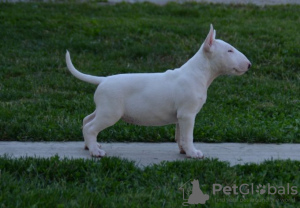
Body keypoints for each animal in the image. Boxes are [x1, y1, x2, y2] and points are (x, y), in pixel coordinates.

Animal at [65, 24, 251, 158]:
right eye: (229, 50)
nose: (249, 65)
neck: (198, 72)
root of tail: (103, 80)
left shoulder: (181, 116)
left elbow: (180, 135)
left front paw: (184, 151)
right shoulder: (188, 114)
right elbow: (188, 135)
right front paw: (193, 153)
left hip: (103, 108)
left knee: (86, 120)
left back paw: (90, 146)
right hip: (111, 112)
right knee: (90, 128)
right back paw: (96, 152)